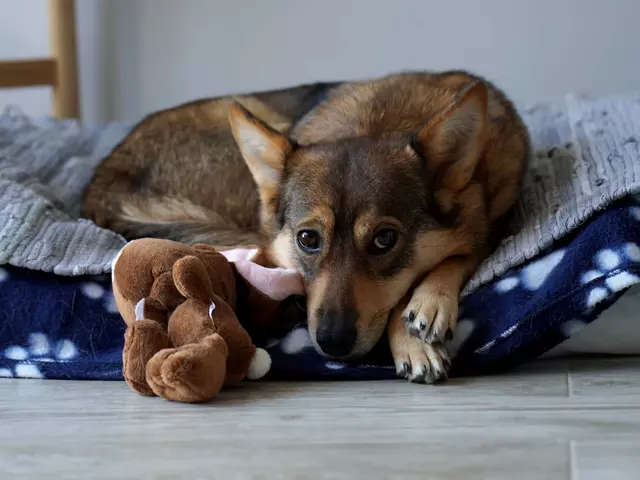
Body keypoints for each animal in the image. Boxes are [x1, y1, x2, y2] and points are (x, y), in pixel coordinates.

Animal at [82, 71, 528, 384]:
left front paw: (427, 307)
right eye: (308, 238)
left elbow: (455, 256)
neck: (377, 125)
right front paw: (414, 340)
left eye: (385, 239)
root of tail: (100, 183)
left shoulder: (493, 223)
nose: (331, 342)